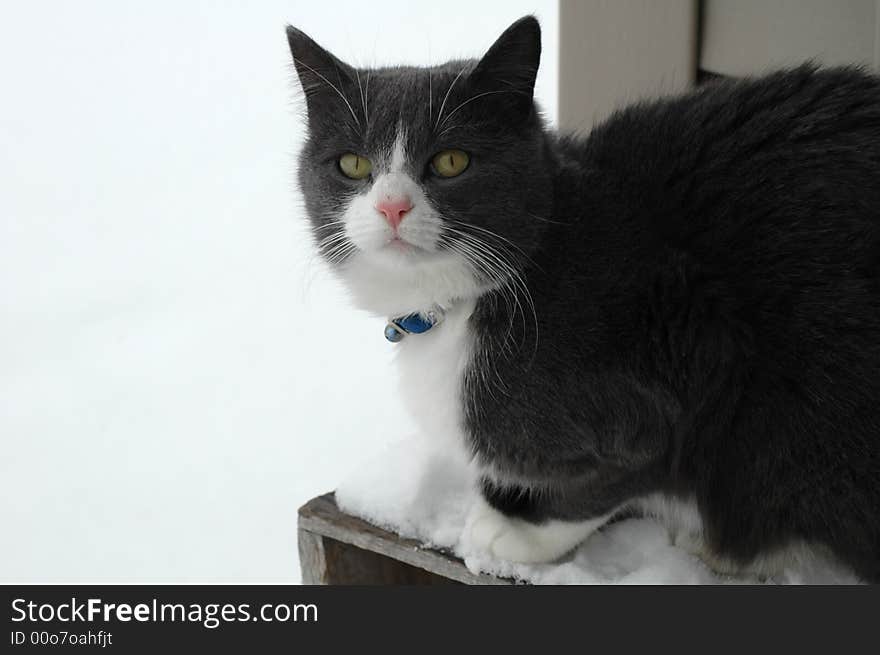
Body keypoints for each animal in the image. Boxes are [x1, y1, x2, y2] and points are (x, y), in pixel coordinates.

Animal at [288, 15, 880, 580]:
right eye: (353, 165)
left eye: (452, 161)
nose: (391, 207)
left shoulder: (693, 347)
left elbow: (619, 476)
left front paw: (515, 532)